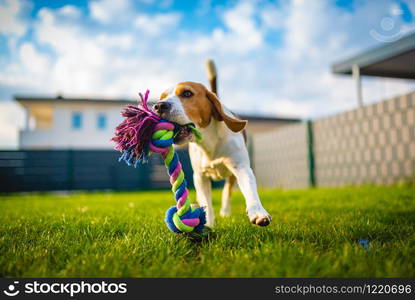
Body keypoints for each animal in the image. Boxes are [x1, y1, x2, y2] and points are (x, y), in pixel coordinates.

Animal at [154, 82, 272, 227]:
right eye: (162, 97)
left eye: (187, 93)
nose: (158, 106)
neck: (209, 142)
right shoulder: (200, 176)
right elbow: (206, 202)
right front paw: (208, 224)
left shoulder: (241, 168)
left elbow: (249, 190)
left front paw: (258, 213)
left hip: (231, 176)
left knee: (227, 191)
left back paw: (225, 212)